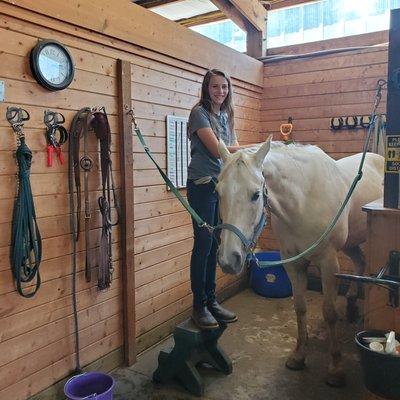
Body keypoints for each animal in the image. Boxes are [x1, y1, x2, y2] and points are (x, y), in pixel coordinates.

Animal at [216, 136, 384, 386]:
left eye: (255, 194)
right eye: (218, 192)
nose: (229, 259)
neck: (303, 201)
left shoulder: (328, 262)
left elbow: (329, 312)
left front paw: (335, 368)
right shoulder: (293, 264)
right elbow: (300, 308)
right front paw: (298, 356)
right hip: (350, 243)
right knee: (360, 263)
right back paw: (353, 303)